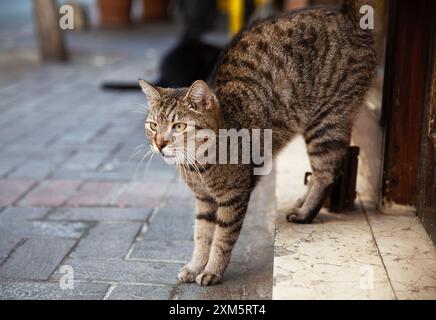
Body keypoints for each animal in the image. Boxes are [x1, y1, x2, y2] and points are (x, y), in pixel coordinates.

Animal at [139, 0, 374, 284]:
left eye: (179, 127)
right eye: (153, 126)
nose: (159, 143)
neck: (199, 166)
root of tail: (344, 14)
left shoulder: (234, 198)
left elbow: (222, 238)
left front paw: (212, 270)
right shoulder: (204, 201)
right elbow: (202, 235)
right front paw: (196, 266)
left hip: (326, 123)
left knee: (327, 173)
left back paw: (306, 213)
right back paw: (301, 202)